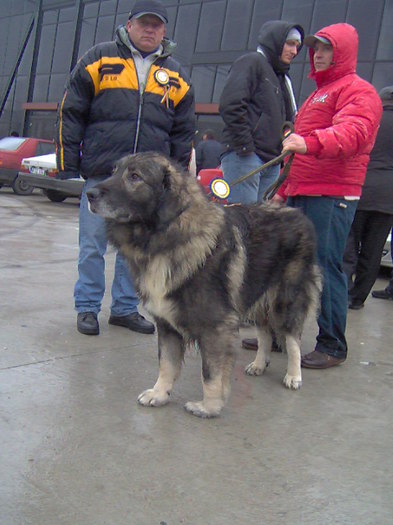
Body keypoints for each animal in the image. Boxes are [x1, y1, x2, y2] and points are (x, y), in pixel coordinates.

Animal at [86, 151, 318, 418]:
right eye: (114, 171)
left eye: (135, 177)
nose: (89, 193)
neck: (165, 238)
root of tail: (298, 214)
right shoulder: (167, 323)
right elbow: (166, 363)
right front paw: (159, 394)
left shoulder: (215, 325)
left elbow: (210, 372)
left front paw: (209, 406)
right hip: (257, 294)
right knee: (264, 332)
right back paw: (259, 364)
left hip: (285, 299)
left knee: (292, 339)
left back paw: (294, 375)